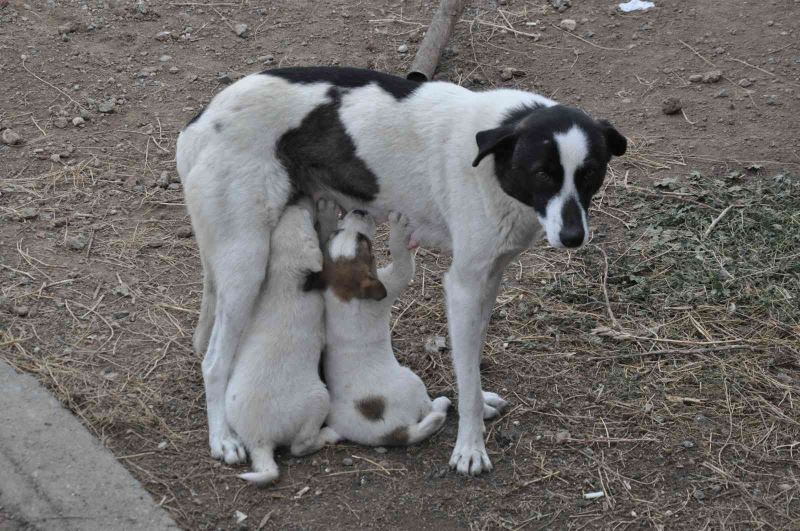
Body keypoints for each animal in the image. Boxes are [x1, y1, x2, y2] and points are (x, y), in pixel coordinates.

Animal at [225, 202, 334, 488]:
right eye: (307, 217)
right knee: (300, 446)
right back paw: (329, 434)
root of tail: (259, 440)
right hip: (319, 399)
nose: (298, 199)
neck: (283, 280)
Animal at [312, 201, 450, 448]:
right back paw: (443, 404)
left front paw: (325, 213)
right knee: (429, 411)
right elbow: (402, 262)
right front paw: (398, 228)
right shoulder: (393, 280)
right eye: (365, 242)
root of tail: (394, 433)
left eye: (338, 232)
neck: (342, 293)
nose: (359, 211)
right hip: (412, 382)